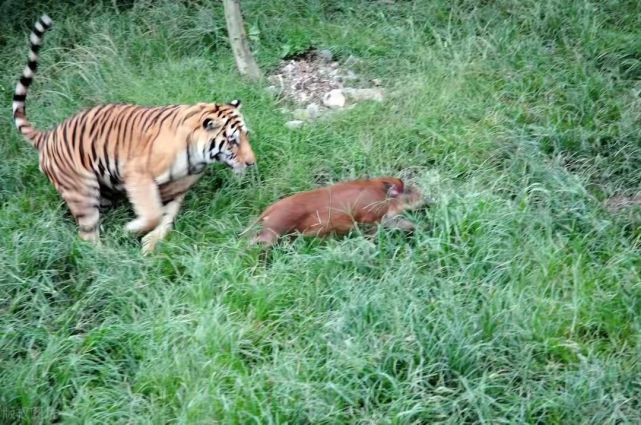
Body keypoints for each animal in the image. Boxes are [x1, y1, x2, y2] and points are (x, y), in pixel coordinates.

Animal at [10, 14, 255, 252]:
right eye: (232, 141)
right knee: (87, 234)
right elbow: (153, 214)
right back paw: (104, 256)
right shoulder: (138, 175)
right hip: (81, 190)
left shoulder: (175, 189)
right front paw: (130, 230)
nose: (252, 163)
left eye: (246, 136)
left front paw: (150, 244)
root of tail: (47, 135)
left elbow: (166, 216)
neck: (197, 158)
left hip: (103, 190)